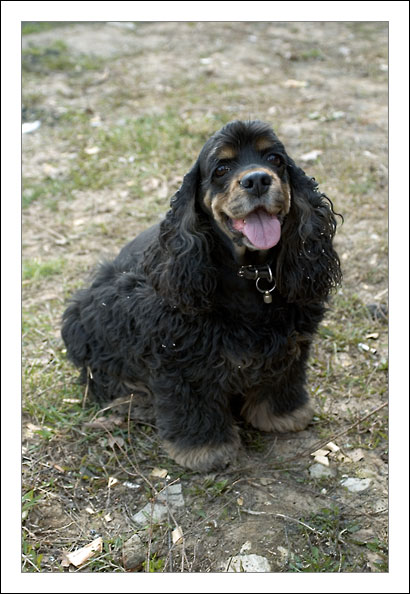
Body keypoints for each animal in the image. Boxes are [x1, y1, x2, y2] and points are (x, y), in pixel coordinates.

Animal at [62, 119, 342, 471]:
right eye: (221, 168)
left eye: (275, 159)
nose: (257, 179)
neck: (249, 273)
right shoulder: (179, 349)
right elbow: (192, 396)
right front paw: (204, 448)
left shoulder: (291, 337)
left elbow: (283, 375)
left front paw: (284, 414)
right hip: (87, 313)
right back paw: (134, 398)